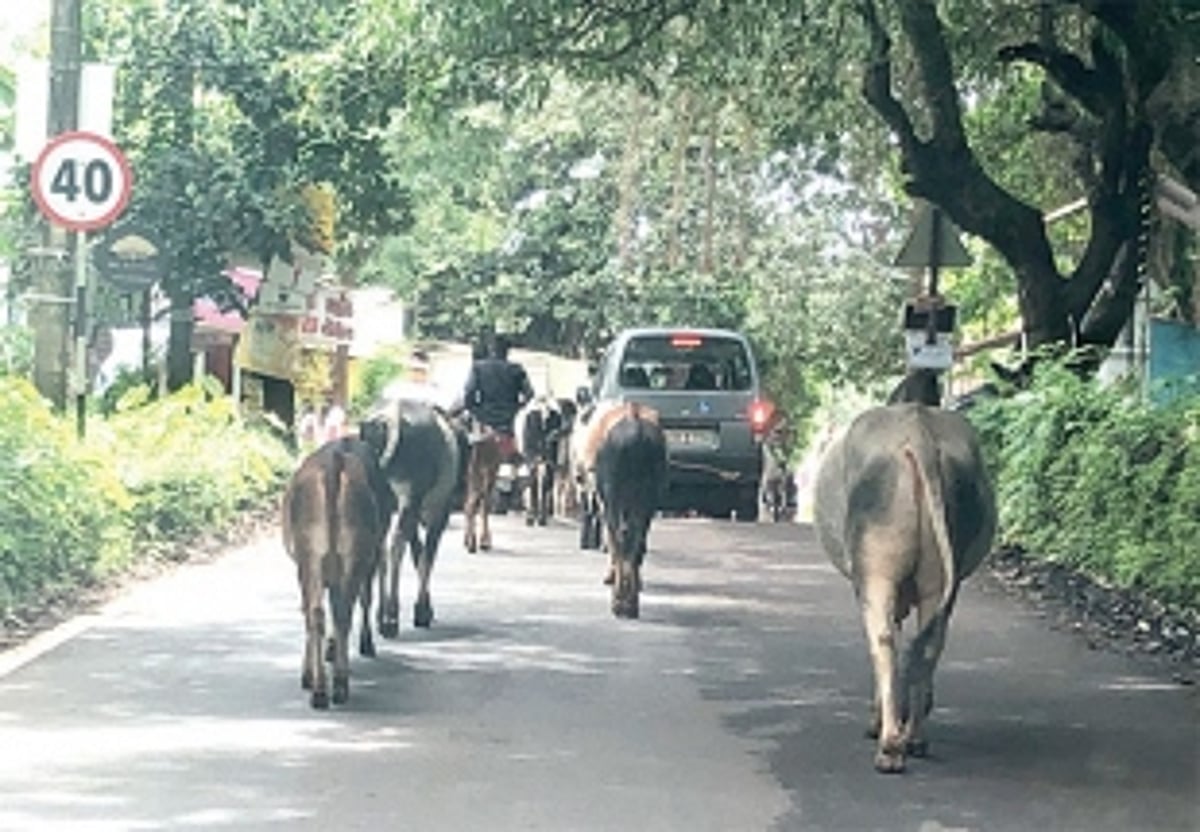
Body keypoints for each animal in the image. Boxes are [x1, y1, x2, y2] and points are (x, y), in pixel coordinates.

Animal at [281, 436, 395, 709]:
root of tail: (335, 461)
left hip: (312, 557)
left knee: (319, 613)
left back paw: (322, 688)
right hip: (348, 557)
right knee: (338, 611)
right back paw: (337, 683)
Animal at [362, 397, 462, 634]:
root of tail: (390, 416)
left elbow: (418, 555)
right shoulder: (439, 513)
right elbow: (427, 558)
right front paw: (422, 610)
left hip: (383, 504)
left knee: (381, 549)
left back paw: (381, 615)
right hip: (409, 500)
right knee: (396, 547)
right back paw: (391, 616)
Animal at [575, 401, 668, 619]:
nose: (579, 476)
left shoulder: (604, 501)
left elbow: (610, 540)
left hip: (613, 498)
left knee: (619, 541)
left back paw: (620, 601)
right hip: (646, 500)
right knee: (636, 542)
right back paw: (630, 601)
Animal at [813, 375, 997, 773]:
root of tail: (918, 433)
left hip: (875, 573)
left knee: (883, 642)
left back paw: (889, 743)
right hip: (941, 579)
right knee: (929, 643)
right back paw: (914, 736)